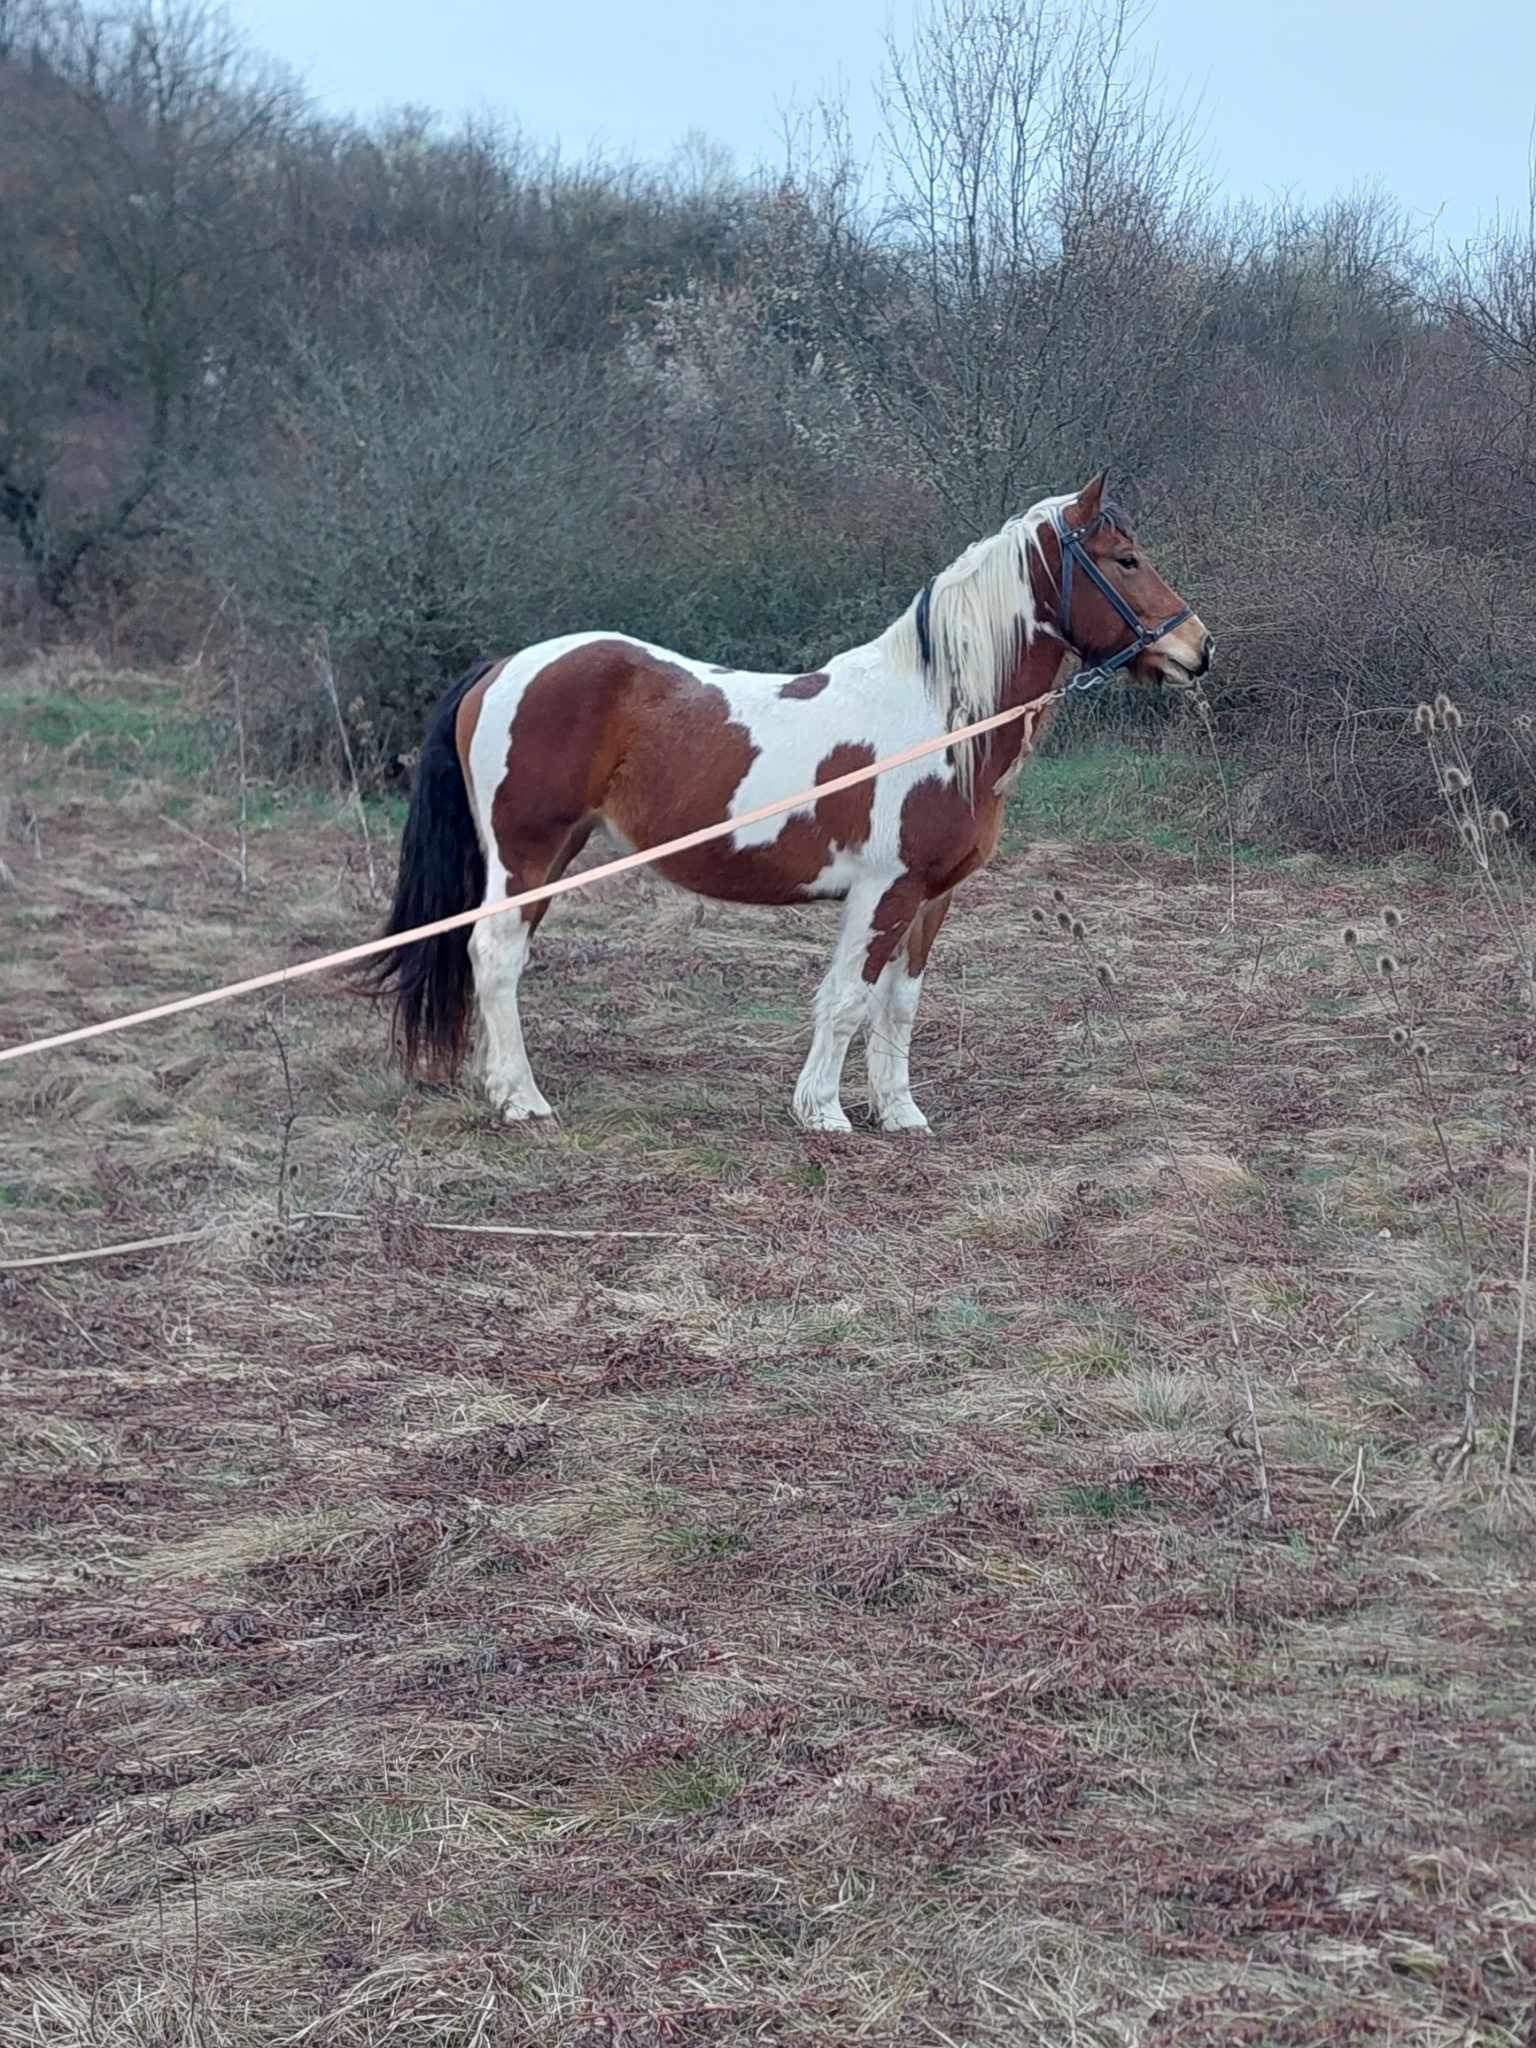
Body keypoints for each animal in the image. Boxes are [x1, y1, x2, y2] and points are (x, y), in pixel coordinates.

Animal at [364, 471, 1212, 1130]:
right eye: (1126, 559)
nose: (1199, 648)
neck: (938, 717)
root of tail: (505, 666)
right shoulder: (883, 890)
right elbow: (846, 998)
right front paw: (825, 1111)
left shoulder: (932, 896)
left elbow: (898, 1005)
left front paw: (900, 1113)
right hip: (528, 852)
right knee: (495, 955)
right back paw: (522, 1100)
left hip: (554, 856)